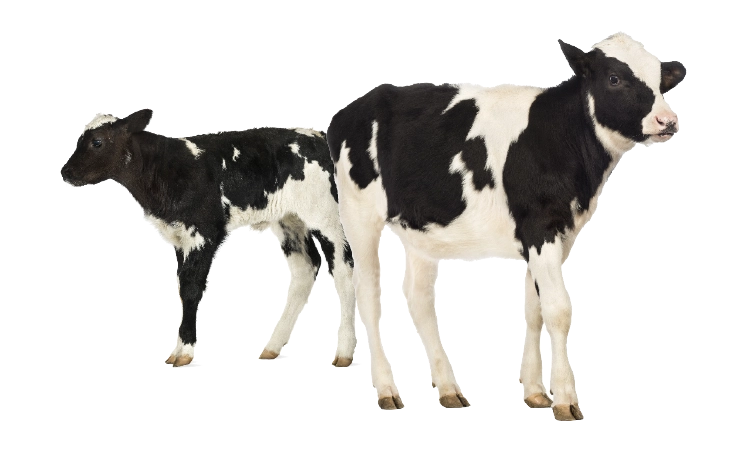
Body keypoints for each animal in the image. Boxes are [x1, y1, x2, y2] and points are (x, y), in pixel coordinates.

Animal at [61, 109, 356, 368]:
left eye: (97, 142)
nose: (65, 172)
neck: (166, 170)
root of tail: (319, 135)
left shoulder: (204, 232)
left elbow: (191, 289)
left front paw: (184, 353)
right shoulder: (181, 238)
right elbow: (181, 288)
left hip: (326, 215)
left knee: (343, 268)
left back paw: (344, 353)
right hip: (289, 219)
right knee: (306, 267)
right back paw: (272, 348)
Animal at [326, 33, 686, 420]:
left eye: (661, 81)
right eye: (615, 78)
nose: (667, 121)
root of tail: (355, 106)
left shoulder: (556, 234)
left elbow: (534, 310)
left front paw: (536, 392)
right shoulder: (540, 227)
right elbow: (558, 311)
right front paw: (566, 399)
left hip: (421, 230)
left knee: (419, 298)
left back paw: (448, 388)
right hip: (359, 214)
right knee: (368, 295)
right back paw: (386, 390)